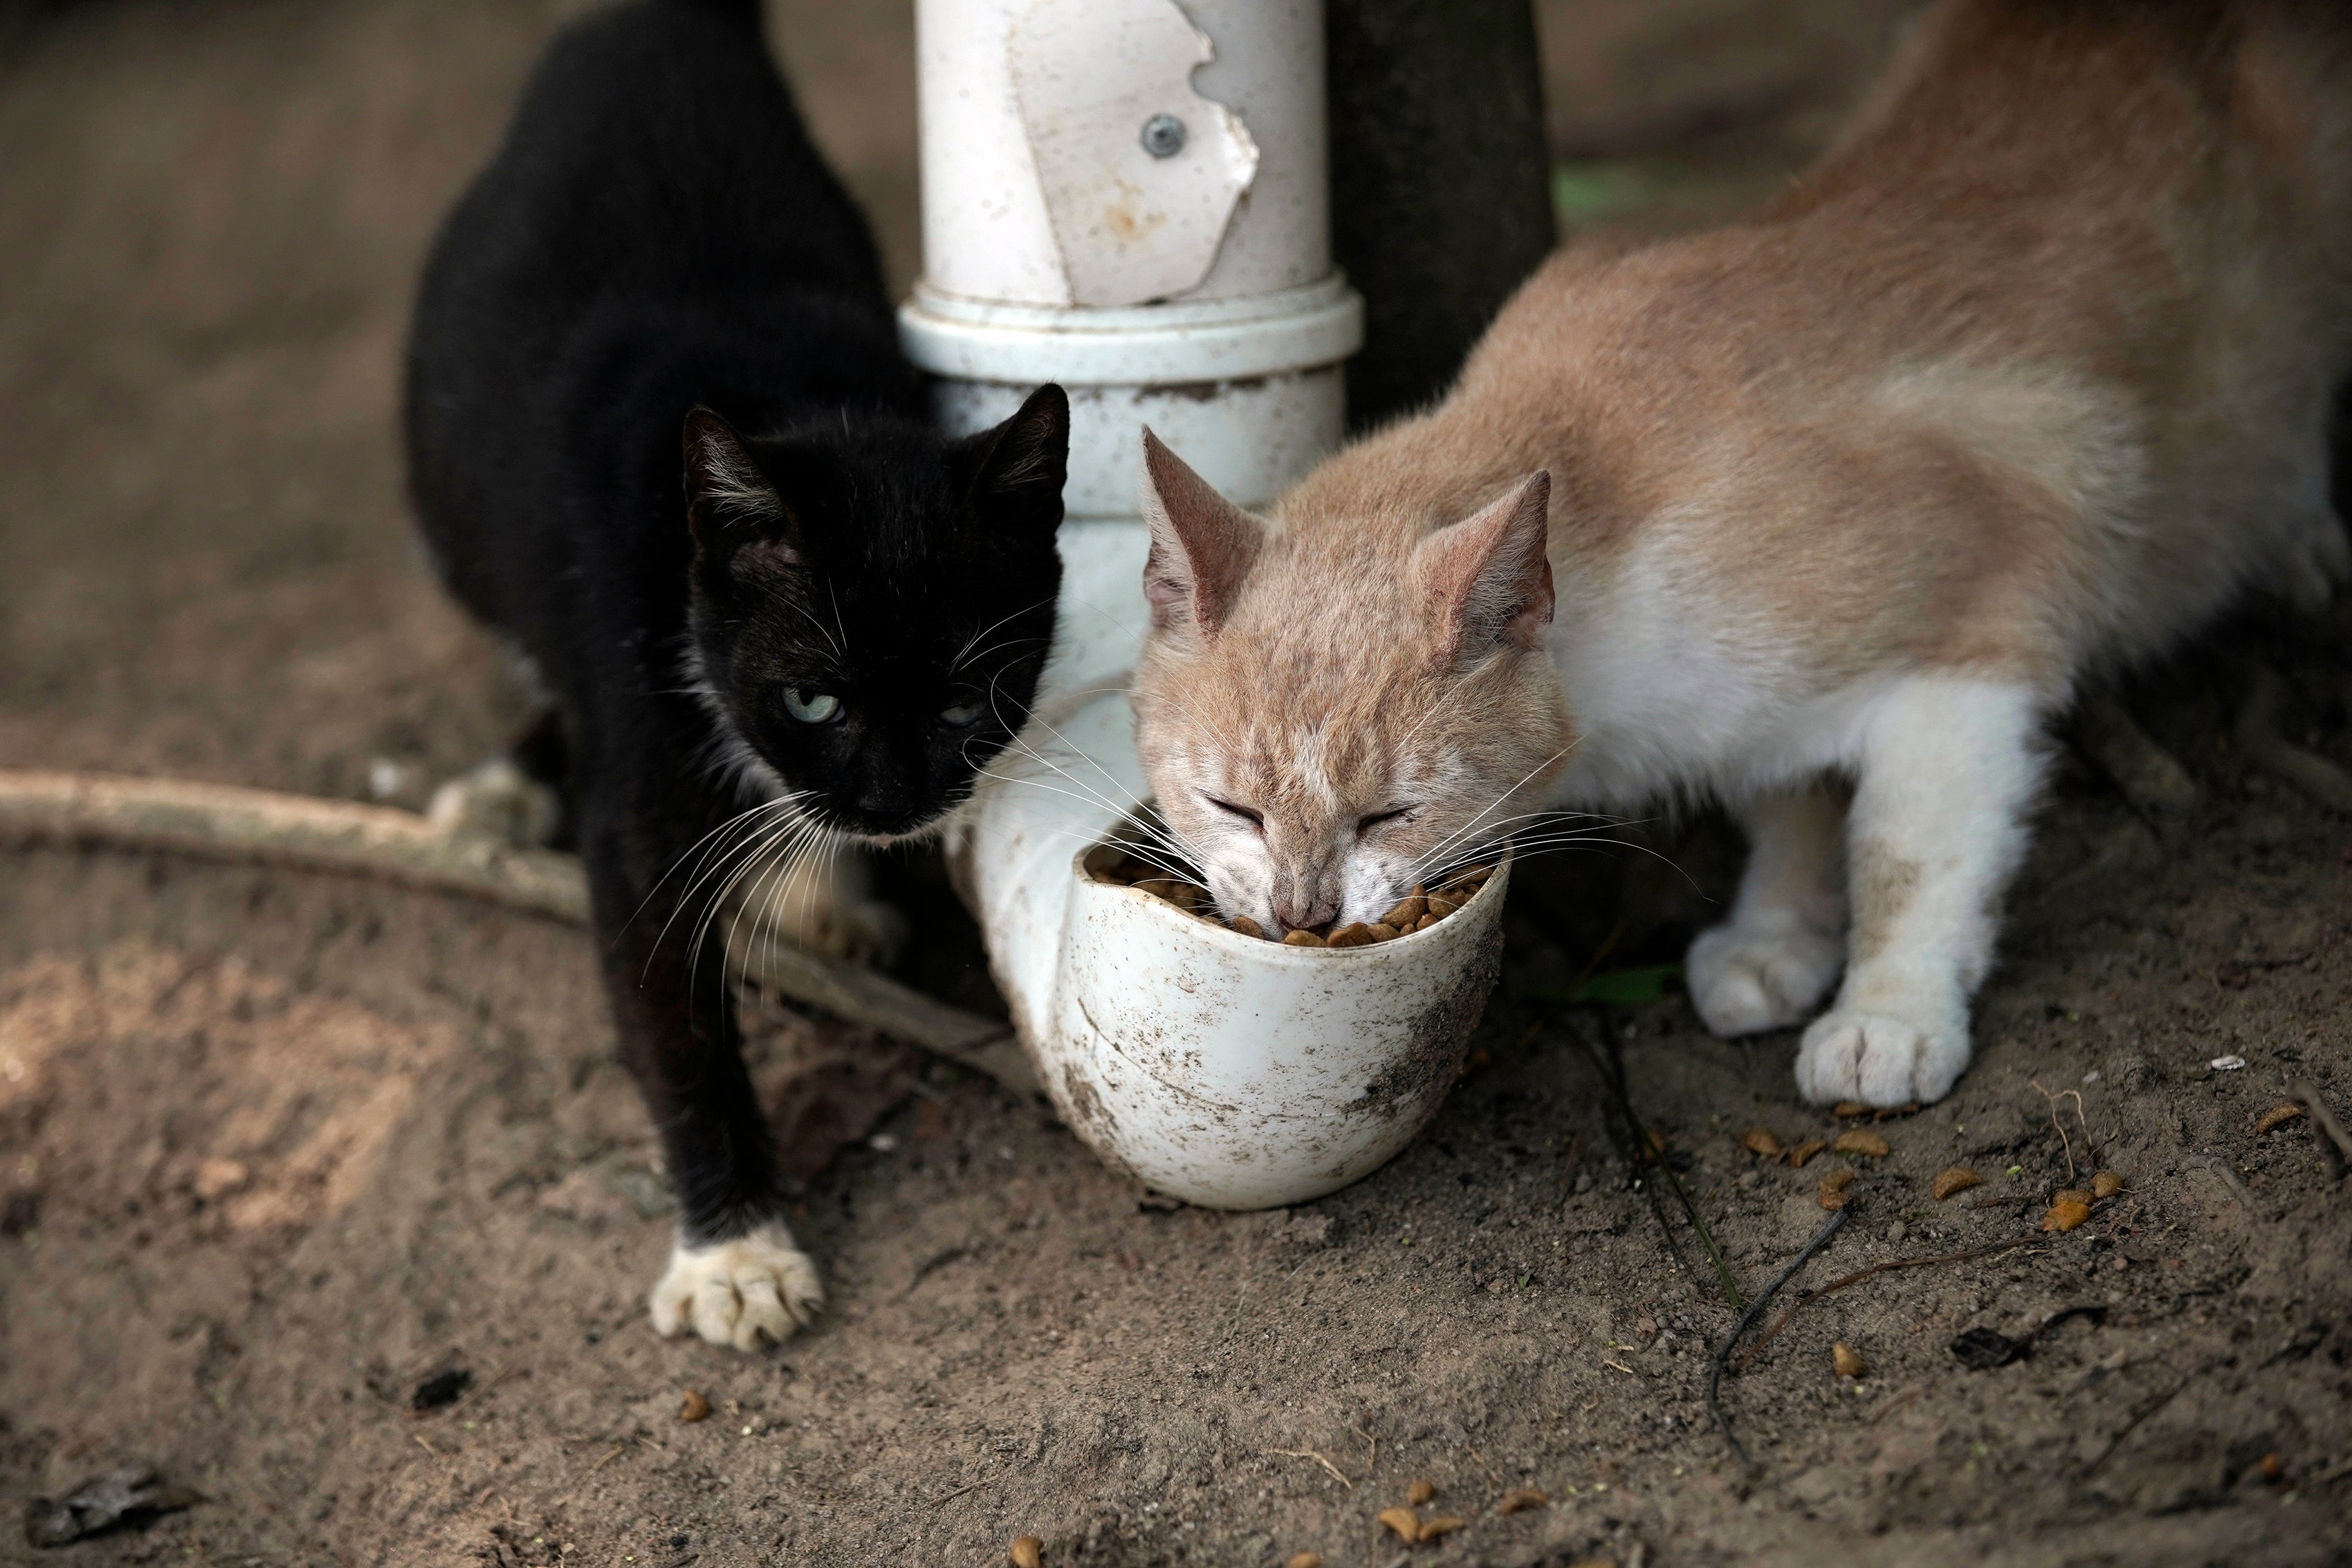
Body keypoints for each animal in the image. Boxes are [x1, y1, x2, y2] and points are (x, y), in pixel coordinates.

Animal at [404, 0, 1067, 1354]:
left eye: (968, 698)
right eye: (814, 696)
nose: (895, 806)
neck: (796, 406)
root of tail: (645, 22)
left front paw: (824, 878)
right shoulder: (636, 793)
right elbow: (675, 1023)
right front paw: (736, 1254)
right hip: (448, 482)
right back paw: (507, 784)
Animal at [1129, 0, 2342, 1109]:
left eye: (1389, 812)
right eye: (1232, 807)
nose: (1303, 915)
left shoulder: (1980, 641)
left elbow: (1907, 851)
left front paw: (1887, 1012)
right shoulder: (1754, 695)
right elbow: (1784, 789)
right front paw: (1777, 936)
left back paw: (2306, 546)